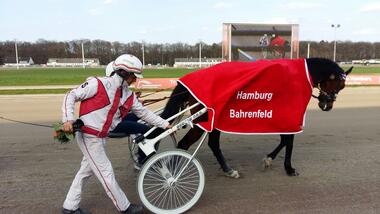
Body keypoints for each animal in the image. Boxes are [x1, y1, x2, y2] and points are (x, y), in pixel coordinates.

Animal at [148, 58, 354, 177]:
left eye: (342, 87)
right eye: (336, 84)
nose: (327, 105)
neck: (295, 77)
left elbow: (284, 140)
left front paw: (269, 159)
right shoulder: (289, 114)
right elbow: (289, 141)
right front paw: (288, 168)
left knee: (211, 144)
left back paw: (226, 169)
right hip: (204, 120)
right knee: (185, 144)